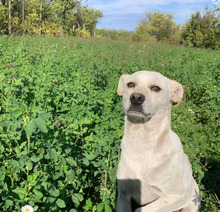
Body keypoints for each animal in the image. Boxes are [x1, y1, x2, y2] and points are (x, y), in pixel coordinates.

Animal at [117, 71, 201, 212]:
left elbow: (141, 209)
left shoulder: (177, 196)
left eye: (156, 88)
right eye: (130, 84)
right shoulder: (123, 195)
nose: (136, 97)